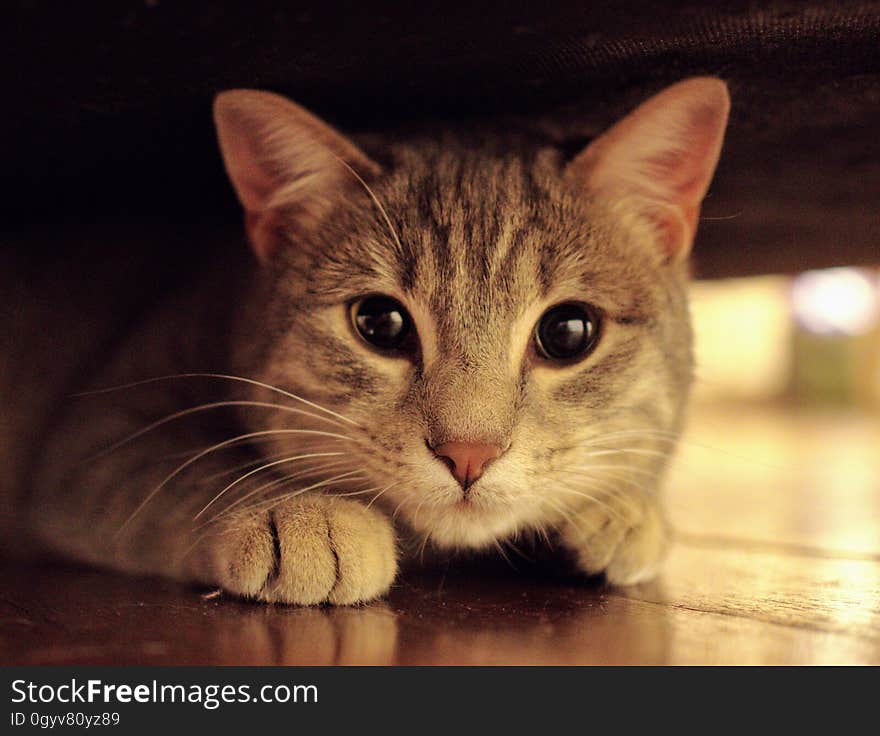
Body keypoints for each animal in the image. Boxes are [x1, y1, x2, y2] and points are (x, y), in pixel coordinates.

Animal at [0, 76, 728, 604]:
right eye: (380, 324)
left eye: (568, 332)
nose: (468, 454)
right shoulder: (95, 439)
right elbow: (189, 469)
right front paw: (301, 516)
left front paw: (619, 509)